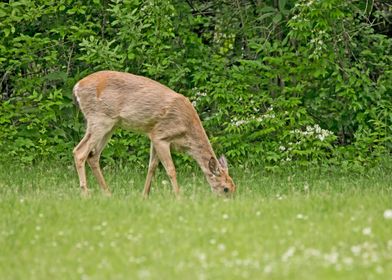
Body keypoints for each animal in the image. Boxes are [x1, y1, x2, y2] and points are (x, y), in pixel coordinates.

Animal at [72, 70, 236, 197]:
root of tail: (77, 87)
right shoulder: (160, 136)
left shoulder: (153, 136)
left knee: (93, 156)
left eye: (234, 187)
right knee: (80, 151)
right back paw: (86, 194)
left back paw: (108, 194)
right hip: (99, 119)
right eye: (225, 189)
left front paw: (144, 196)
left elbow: (152, 167)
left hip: (110, 125)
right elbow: (171, 169)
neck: (186, 131)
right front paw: (179, 197)